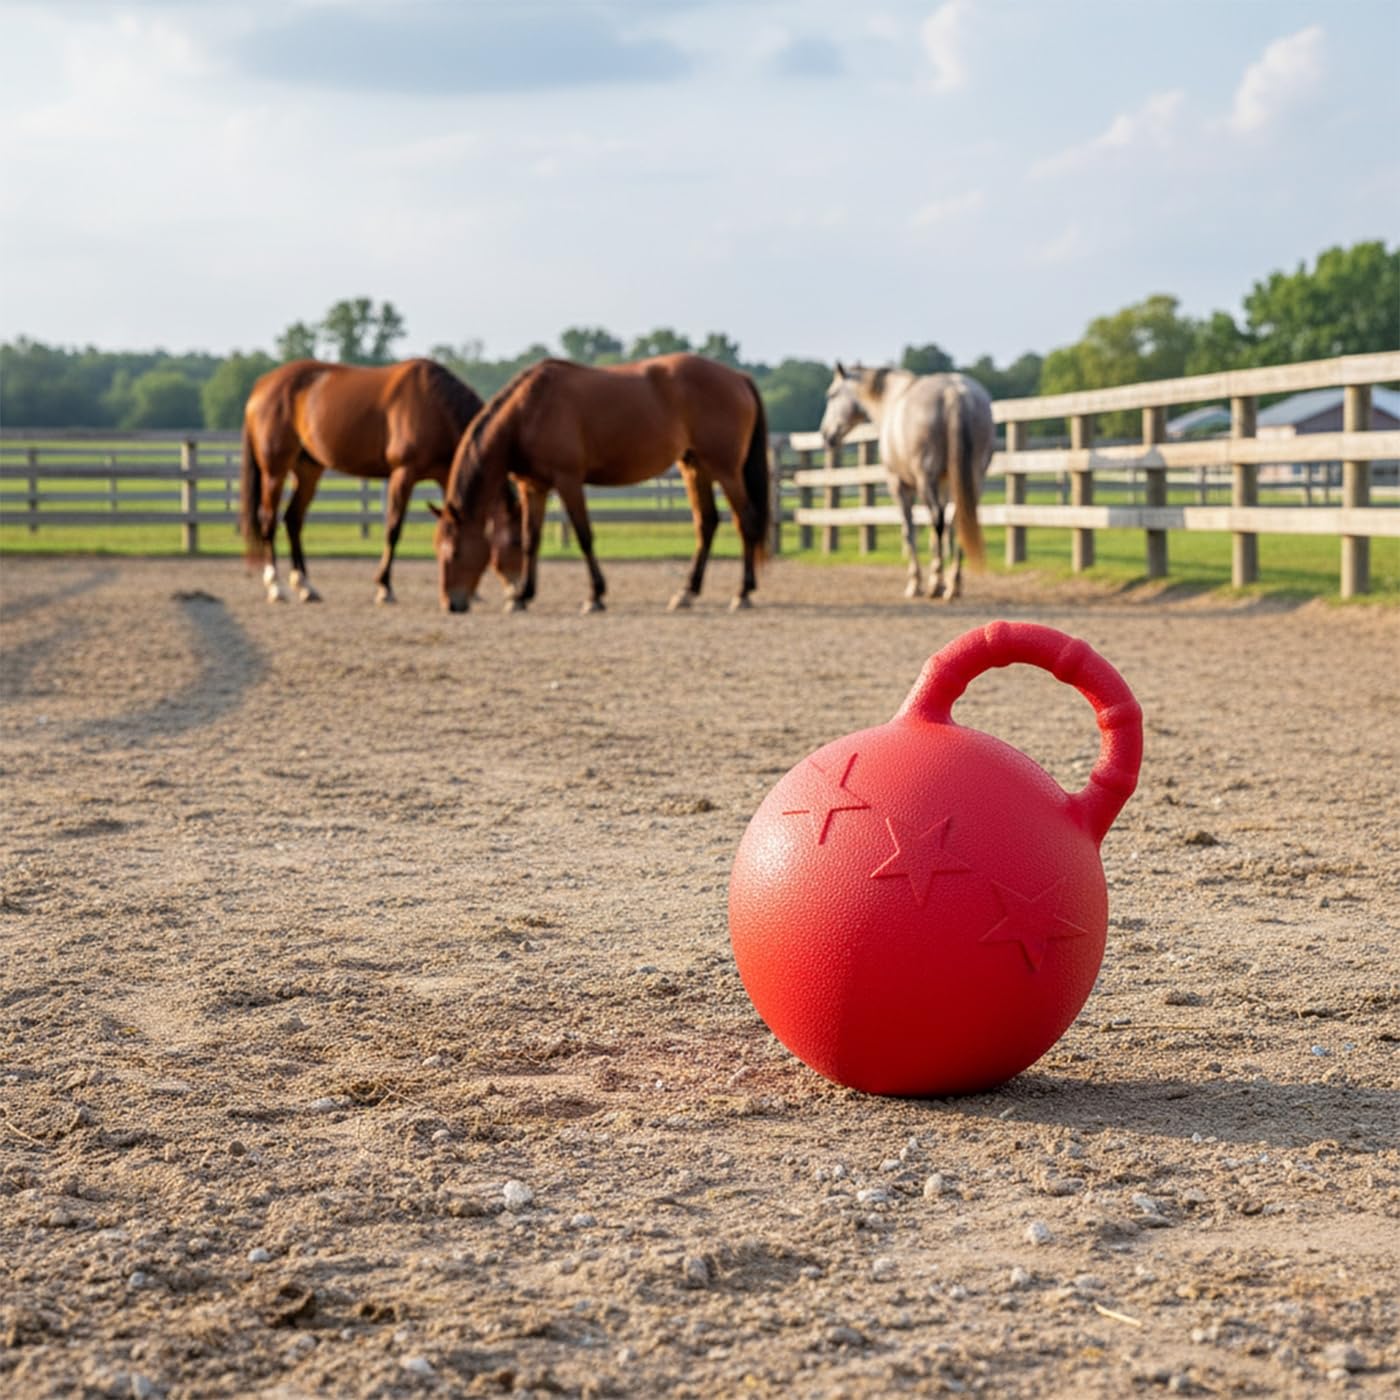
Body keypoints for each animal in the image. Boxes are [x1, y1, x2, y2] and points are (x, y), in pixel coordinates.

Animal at [239, 358, 523, 605]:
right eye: (516, 542)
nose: (518, 589)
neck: (434, 405)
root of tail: (261, 386)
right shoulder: (403, 474)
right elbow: (393, 530)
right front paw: (384, 587)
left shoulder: (446, 478)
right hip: (275, 471)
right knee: (268, 522)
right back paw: (276, 587)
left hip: (308, 469)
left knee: (293, 520)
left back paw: (306, 586)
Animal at [431, 352, 771, 614]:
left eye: (455, 552)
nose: (452, 604)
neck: (529, 411)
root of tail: (738, 377)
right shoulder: (534, 487)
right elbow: (530, 540)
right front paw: (522, 596)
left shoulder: (568, 482)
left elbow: (584, 536)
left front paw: (595, 596)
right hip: (694, 467)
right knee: (707, 523)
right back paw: (686, 593)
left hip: (726, 470)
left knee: (746, 522)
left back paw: (742, 593)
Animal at [820, 364, 994, 600]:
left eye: (832, 394)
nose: (825, 434)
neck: (890, 399)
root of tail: (955, 393)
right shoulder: (945, 483)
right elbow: (942, 531)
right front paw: (944, 581)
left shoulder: (898, 484)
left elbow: (909, 530)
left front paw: (915, 583)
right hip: (974, 477)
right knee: (959, 520)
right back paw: (953, 585)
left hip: (925, 478)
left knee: (937, 522)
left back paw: (935, 584)